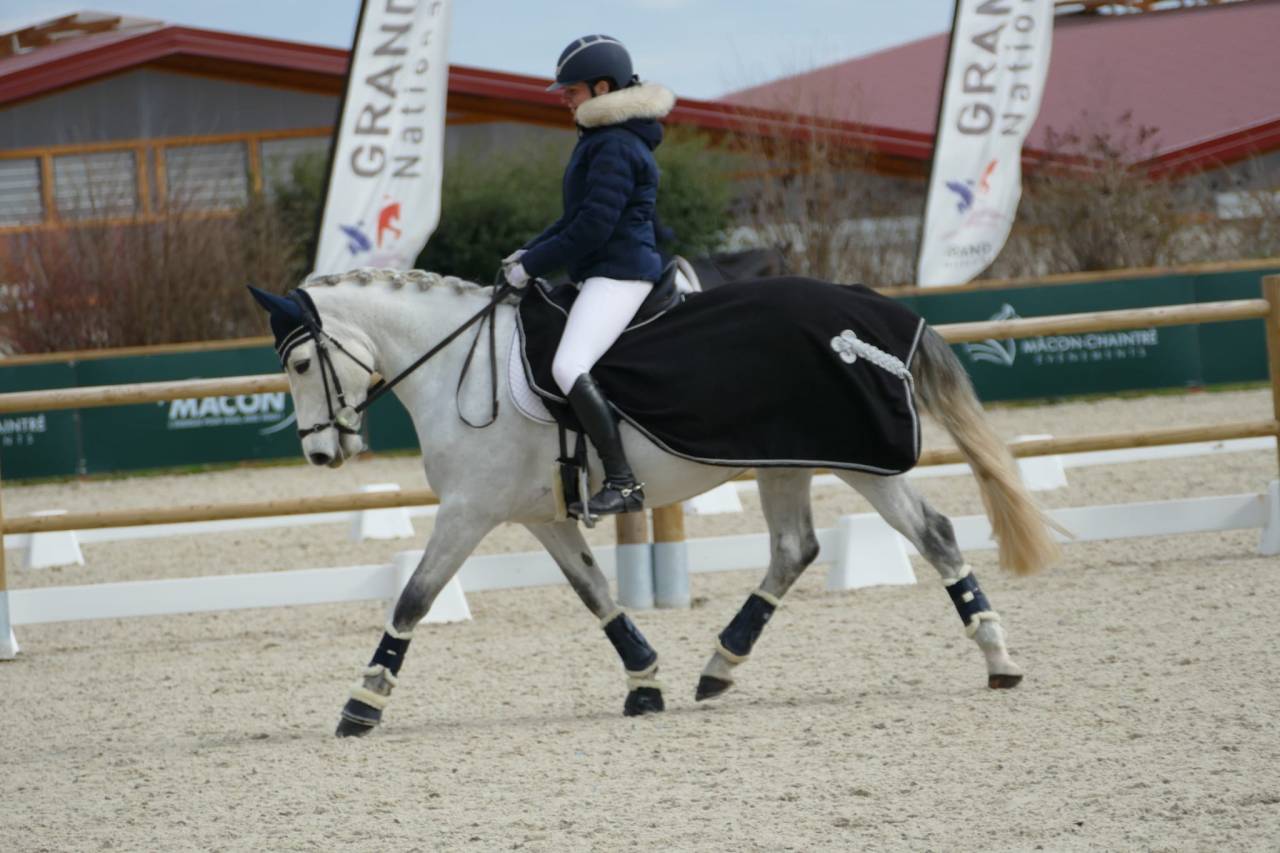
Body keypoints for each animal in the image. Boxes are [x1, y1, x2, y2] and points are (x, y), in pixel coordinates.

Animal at [249, 268, 1060, 738]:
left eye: (300, 362)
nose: (321, 454)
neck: (457, 364)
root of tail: (873, 310)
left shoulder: (469, 511)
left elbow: (415, 597)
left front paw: (363, 701)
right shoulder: (539, 516)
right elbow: (596, 593)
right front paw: (645, 681)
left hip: (858, 461)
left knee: (934, 532)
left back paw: (998, 656)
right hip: (784, 460)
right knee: (794, 548)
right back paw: (719, 665)